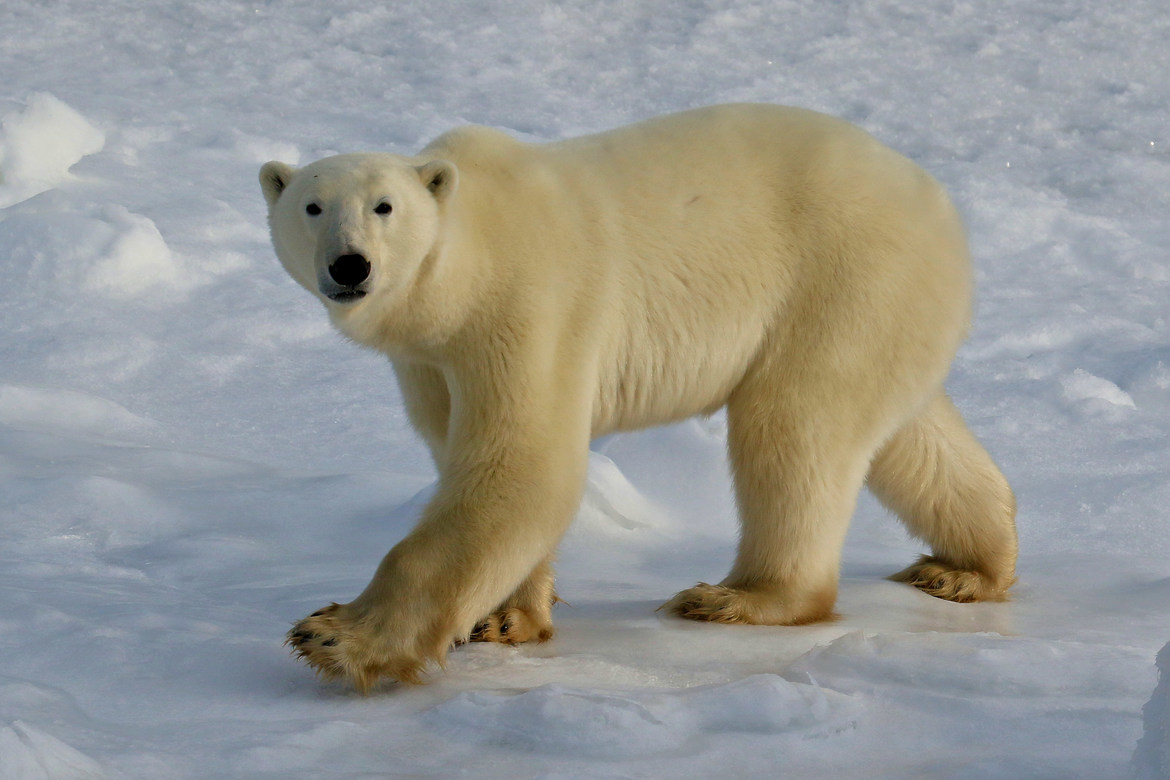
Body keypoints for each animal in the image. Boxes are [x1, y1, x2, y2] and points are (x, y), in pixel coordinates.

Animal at [260, 103, 1017, 692]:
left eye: (384, 207)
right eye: (311, 207)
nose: (350, 265)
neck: (464, 265)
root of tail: (936, 201)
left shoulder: (527, 305)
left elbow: (525, 466)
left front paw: (333, 636)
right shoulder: (429, 359)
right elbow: (464, 455)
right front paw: (508, 616)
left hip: (843, 276)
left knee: (794, 427)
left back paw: (738, 596)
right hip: (889, 309)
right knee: (904, 436)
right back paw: (967, 568)